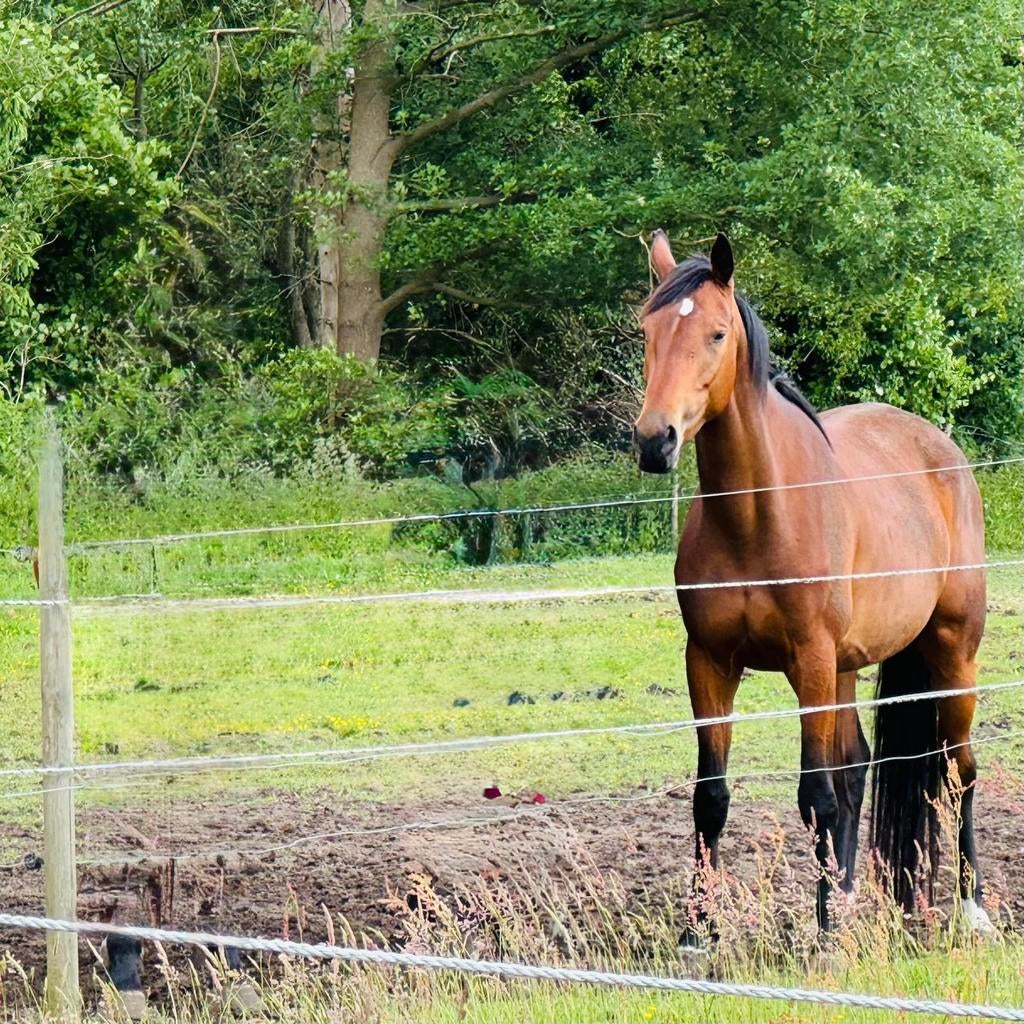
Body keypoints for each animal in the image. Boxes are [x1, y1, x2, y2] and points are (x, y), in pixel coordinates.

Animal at [633, 231, 991, 937]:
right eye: (646, 331)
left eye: (716, 334)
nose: (654, 441)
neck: (756, 517)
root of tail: (943, 450)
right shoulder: (709, 663)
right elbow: (711, 796)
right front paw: (698, 932)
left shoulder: (811, 662)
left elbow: (815, 796)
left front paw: (822, 931)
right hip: (848, 667)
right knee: (858, 770)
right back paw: (850, 896)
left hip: (949, 654)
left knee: (958, 770)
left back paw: (970, 907)